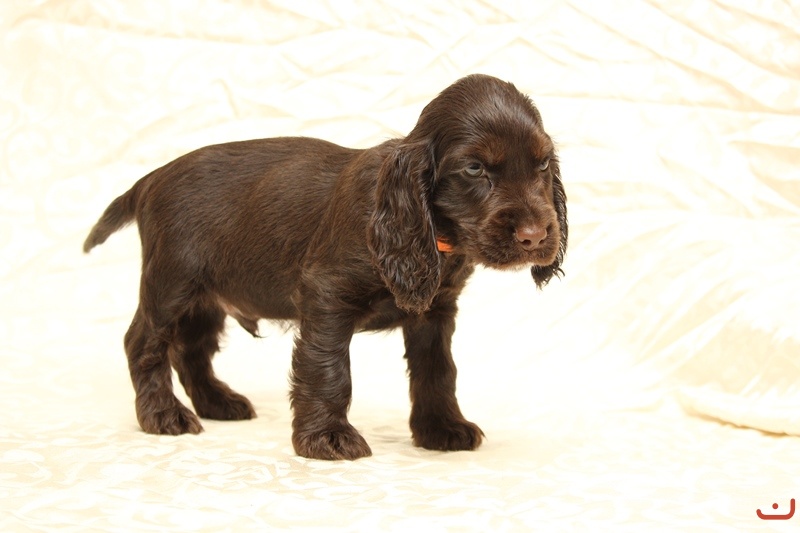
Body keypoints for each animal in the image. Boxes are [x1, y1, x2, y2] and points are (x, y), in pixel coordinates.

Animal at [84, 74, 567, 460]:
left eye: (543, 163)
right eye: (474, 168)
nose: (535, 236)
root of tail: (152, 178)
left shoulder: (434, 310)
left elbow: (438, 370)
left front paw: (441, 429)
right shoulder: (327, 294)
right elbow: (329, 368)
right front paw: (327, 438)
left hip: (207, 295)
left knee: (191, 349)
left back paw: (218, 403)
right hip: (172, 283)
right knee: (144, 343)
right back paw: (164, 415)